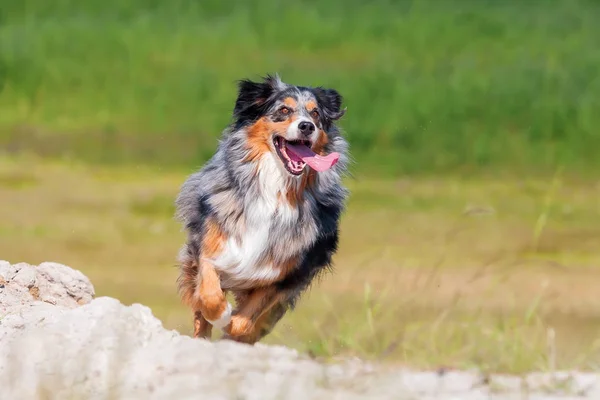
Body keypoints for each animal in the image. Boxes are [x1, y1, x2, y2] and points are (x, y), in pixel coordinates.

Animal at [173, 75, 352, 344]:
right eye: (284, 110)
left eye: (315, 114)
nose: (307, 126)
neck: (275, 188)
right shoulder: (211, 246)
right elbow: (208, 295)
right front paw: (220, 314)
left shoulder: (284, 274)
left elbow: (244, 322)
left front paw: (233, 328)